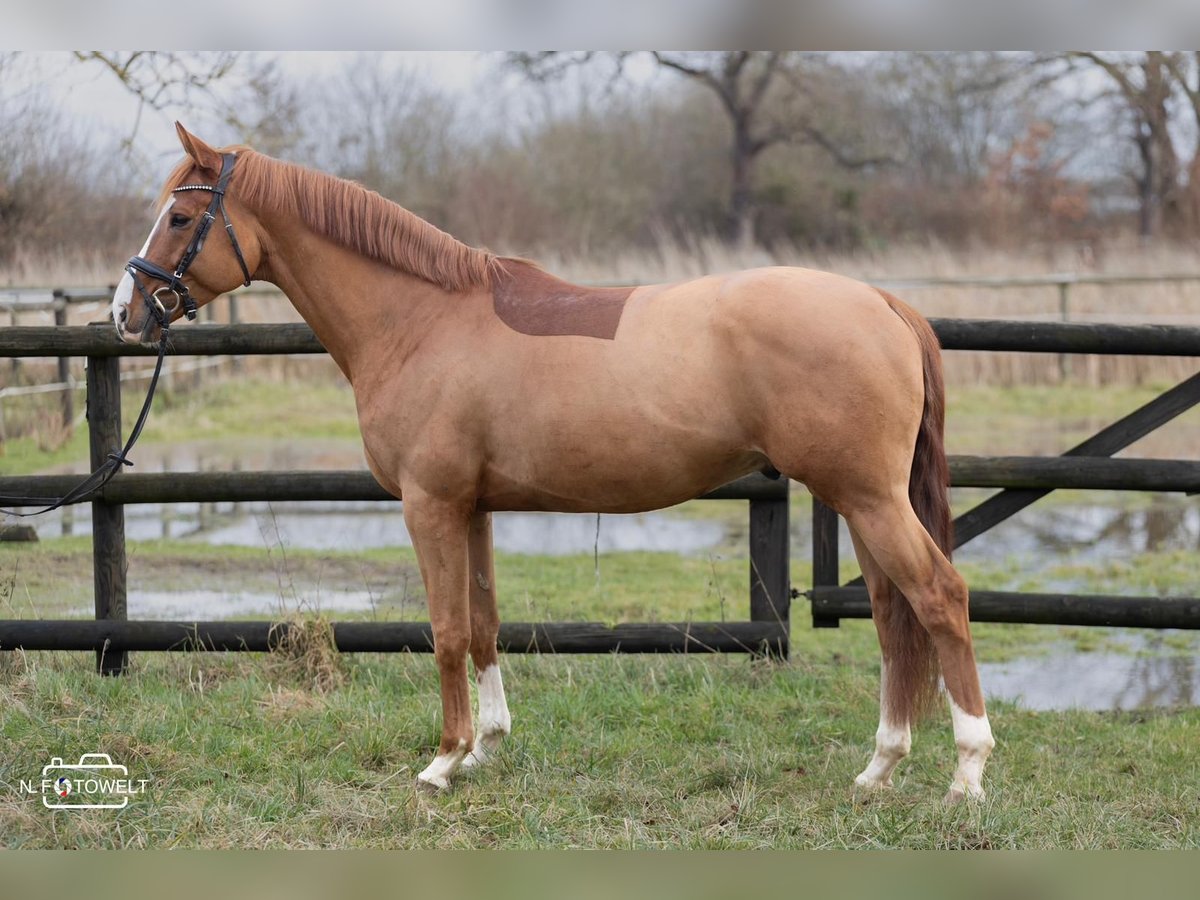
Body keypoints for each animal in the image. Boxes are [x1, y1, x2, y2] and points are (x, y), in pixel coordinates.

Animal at [112, 123, 993, 801]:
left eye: (181, 215)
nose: (125, 313)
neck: (423, 319)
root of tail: (881, 301)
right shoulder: (472, 508)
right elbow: (484, 624)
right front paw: (486, 746)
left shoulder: (429, 505)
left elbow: (444, 631)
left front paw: (442, 762)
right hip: (861, 500)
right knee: (892, 611)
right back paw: (879, 769)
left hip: (869, 497)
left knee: (939, 597)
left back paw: (967, 775)